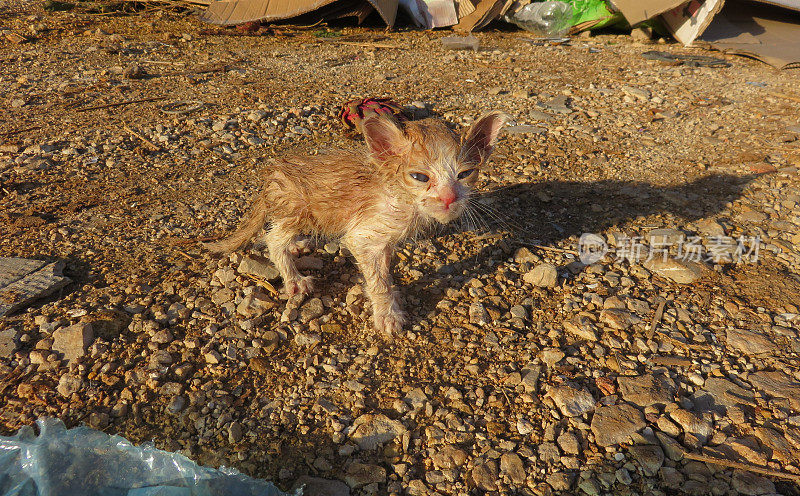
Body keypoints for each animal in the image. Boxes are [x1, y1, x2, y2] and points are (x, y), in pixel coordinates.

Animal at [206, 112, 506, 336]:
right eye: (420, 177)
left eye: (465, 174)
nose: (449, 198)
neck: (400, 197)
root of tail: (273, 175)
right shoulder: (362, 236)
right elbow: (377, 280)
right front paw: (387, 314)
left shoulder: (384, 239)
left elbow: (383, 267)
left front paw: (393, 294)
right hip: (300, 208)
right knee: (272, 238)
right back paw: (294, 279)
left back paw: (298, 245)